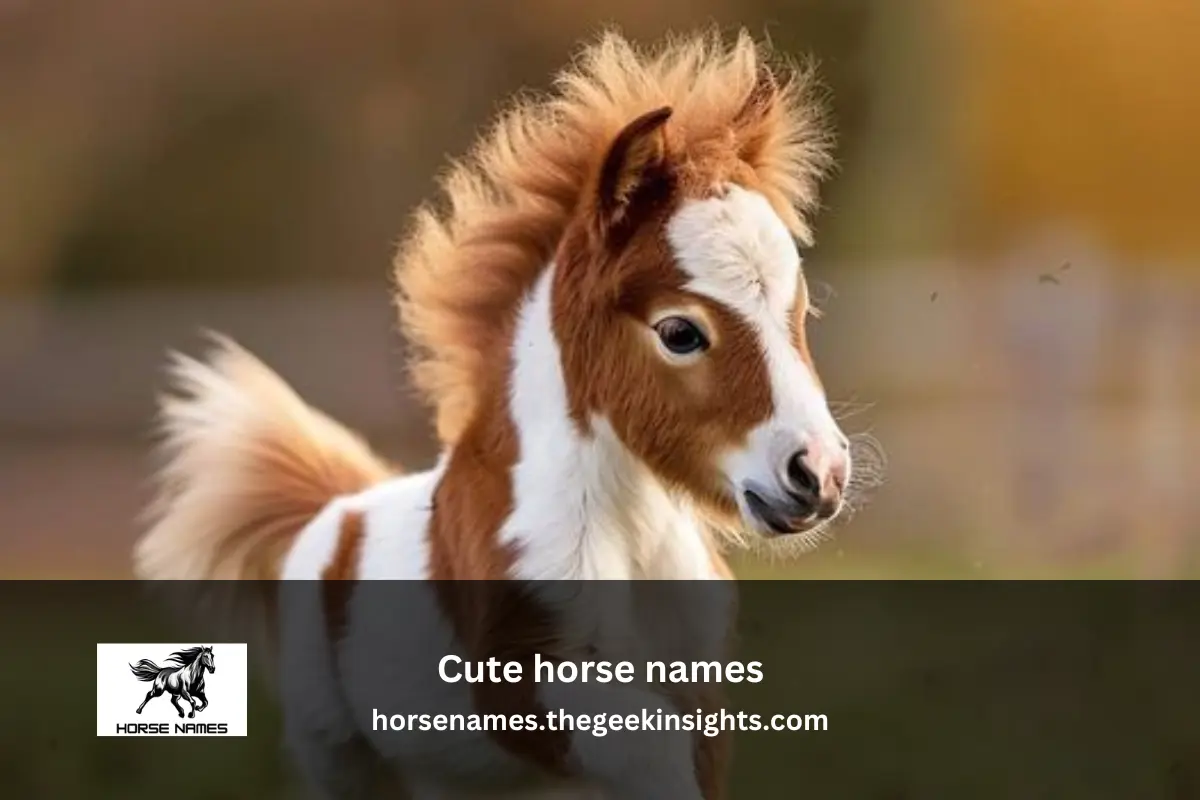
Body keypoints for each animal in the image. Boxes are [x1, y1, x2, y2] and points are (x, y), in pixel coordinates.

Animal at [134, 28, 880, 800]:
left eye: (801, 312)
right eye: (680, 332)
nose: (818, 473)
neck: (627, 533)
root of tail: (338, 508)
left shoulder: (702, 692)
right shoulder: (520, 686)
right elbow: (647, 747)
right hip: (337, 753)